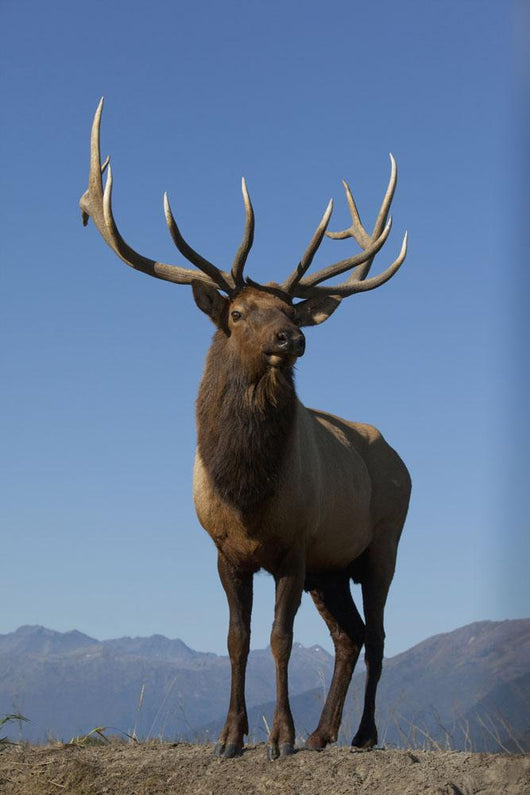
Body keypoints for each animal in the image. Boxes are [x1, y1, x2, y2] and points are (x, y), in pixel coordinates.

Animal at [80, 99, 411, 760]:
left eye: (287, 309)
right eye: (237, 313)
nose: (293, 337)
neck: (247, 492)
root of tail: (400, 458)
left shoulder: (295, 545)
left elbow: (279, 639)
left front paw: (279, 737)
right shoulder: (225, 551)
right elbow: (236, 639)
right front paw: (232, 737)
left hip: (382, 543)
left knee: (380, 634)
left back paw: (360, 734)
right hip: (333, 566)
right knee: (350, 635)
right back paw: (323, 733)